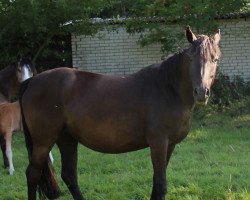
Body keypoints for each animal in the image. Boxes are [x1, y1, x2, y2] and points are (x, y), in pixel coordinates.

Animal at [19, 27, 221, 200]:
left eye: (215, 59)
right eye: (190, 58)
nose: (201, 92)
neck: (167, 89)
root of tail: (32, 81)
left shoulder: (169, 145)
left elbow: (156, 183)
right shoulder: (158, 143)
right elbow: (161, 184)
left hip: (66, 139)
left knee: (69, 176)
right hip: (43, 141)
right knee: (33, 174)